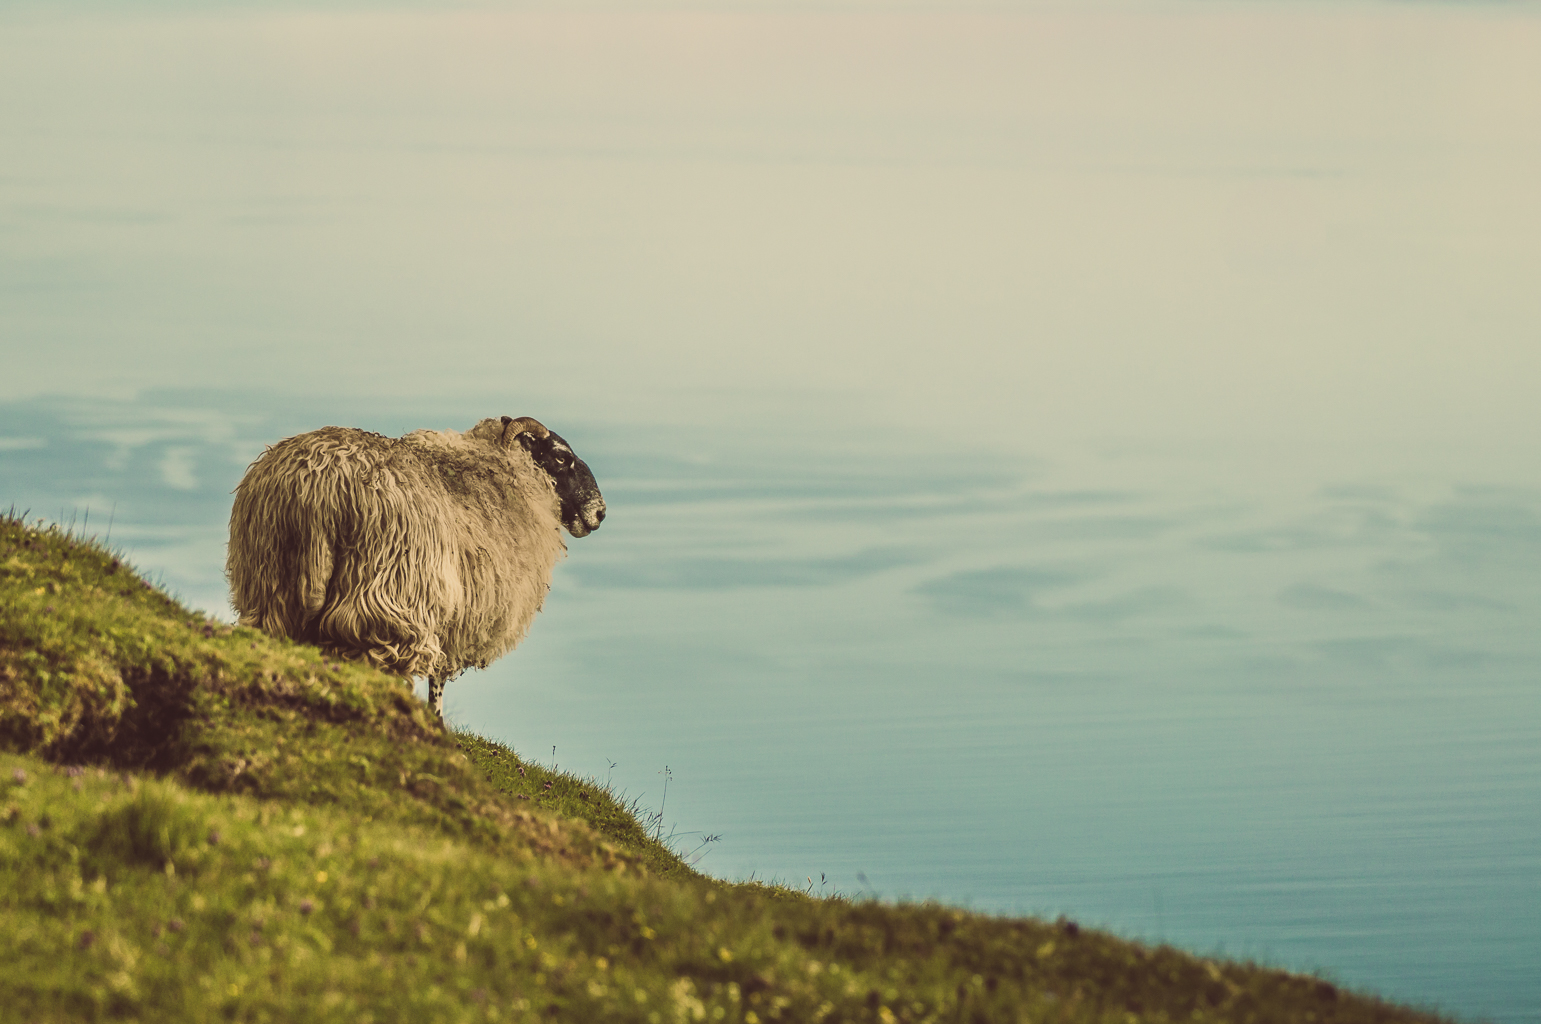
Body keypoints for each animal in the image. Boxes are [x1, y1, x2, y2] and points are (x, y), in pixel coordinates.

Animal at [226, 415, 605, 718]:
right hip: (384, 598)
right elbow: (438, 681)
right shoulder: (452, 612)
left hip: (271, 584)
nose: (600, 512)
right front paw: (436, 722)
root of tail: (320, 486)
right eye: (562, 457)